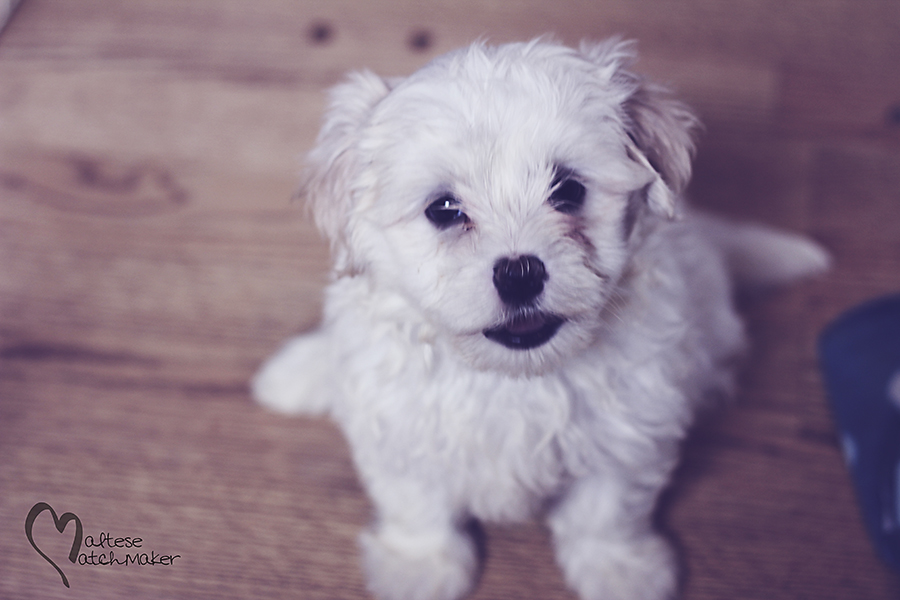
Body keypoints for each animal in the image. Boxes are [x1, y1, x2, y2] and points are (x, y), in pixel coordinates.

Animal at [253, 38, 828, 600]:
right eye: (443, 209)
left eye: (568, 190)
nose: (519, 274)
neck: (513, 377)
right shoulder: (400, 428)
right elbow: (417, 503)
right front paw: (421, 566)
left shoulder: (627, 433)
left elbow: (606, 511)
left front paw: (619, 571)